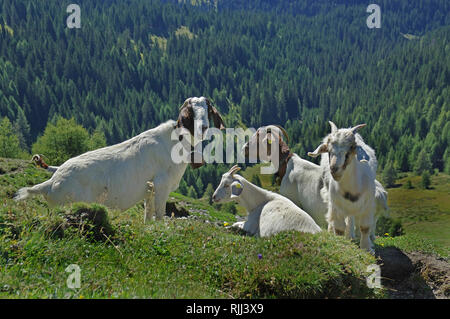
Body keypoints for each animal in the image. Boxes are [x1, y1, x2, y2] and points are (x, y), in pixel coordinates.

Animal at [14, 96, 225, 224]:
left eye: (207, 110)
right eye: (191, 112)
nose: (204, 127)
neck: (174, 142)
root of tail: (50, 183)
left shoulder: (150, 190)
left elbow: (148, 215)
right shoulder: (161, 186)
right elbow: (159, 215)